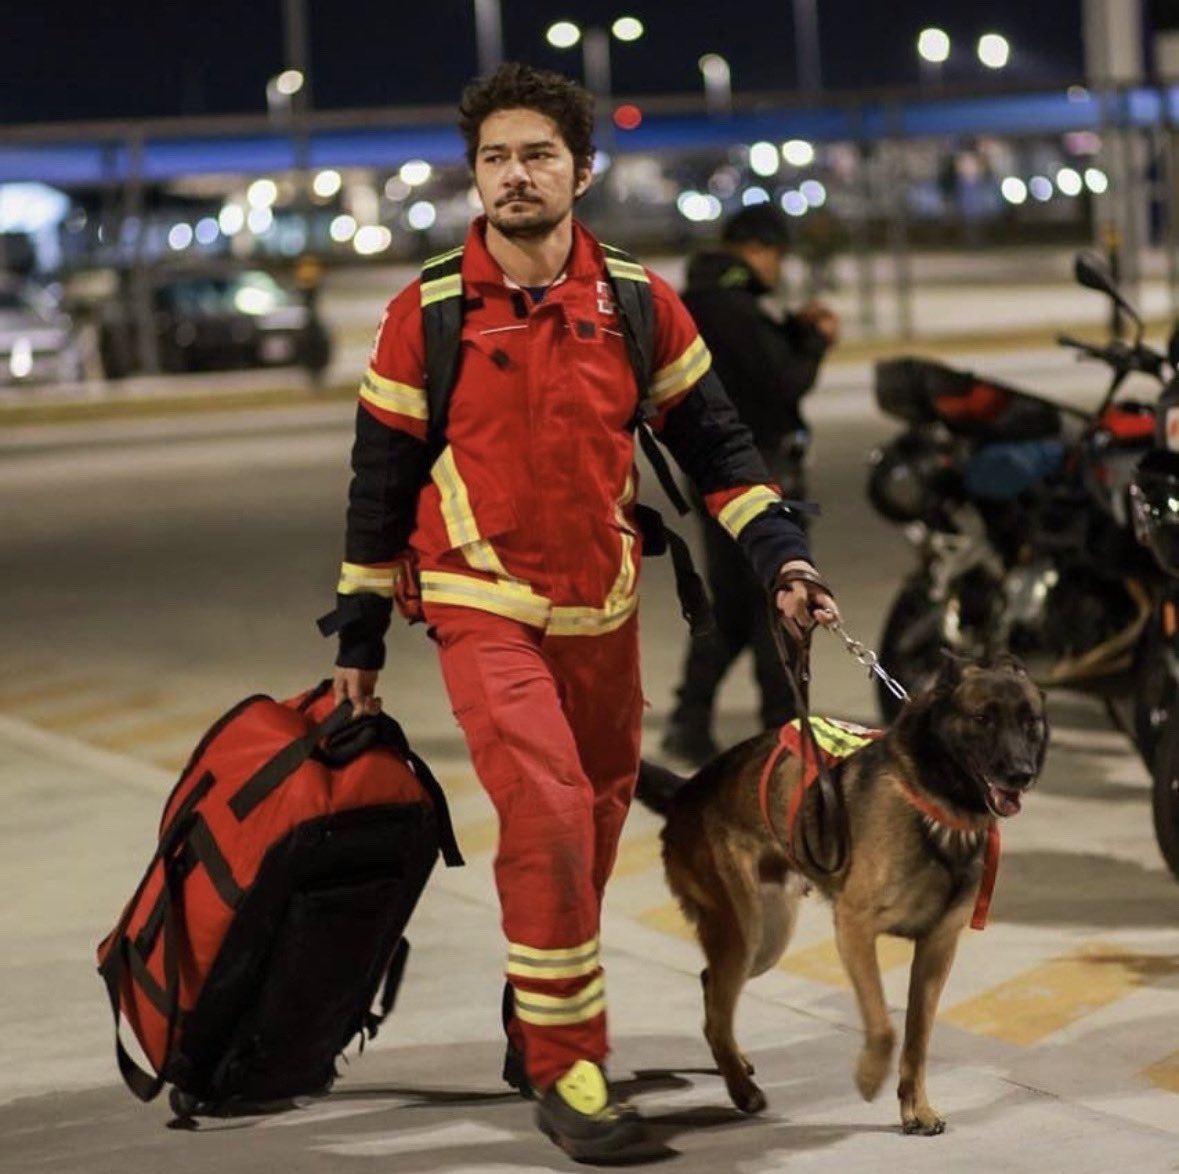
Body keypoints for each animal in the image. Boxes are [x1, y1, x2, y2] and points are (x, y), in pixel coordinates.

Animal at [641, 655, 1046, 1131]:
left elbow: (918, 1037)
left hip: (765, 942)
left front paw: (917, 1107)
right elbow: (884, 1026)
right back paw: (741, 1089)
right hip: (743, 934)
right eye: (983, 718)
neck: (934, 801)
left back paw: (735, 1065)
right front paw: (870, 1076)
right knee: (718, 1008)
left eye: (1030, 722)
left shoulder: (937, 949)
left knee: (713, 991)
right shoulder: (855, 928)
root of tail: (686, 791)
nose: (1020, 774)